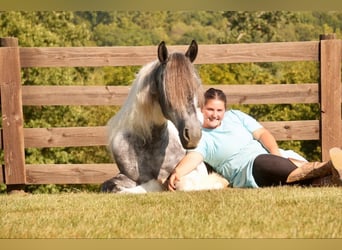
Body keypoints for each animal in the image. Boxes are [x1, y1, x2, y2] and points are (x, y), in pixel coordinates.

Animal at [101, 41, 227, 193]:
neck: (151, 143)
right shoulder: (126, 176)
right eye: (169, 90)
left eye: (196, 86)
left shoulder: (195, 171)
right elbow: (112, 187)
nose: (193, 135)